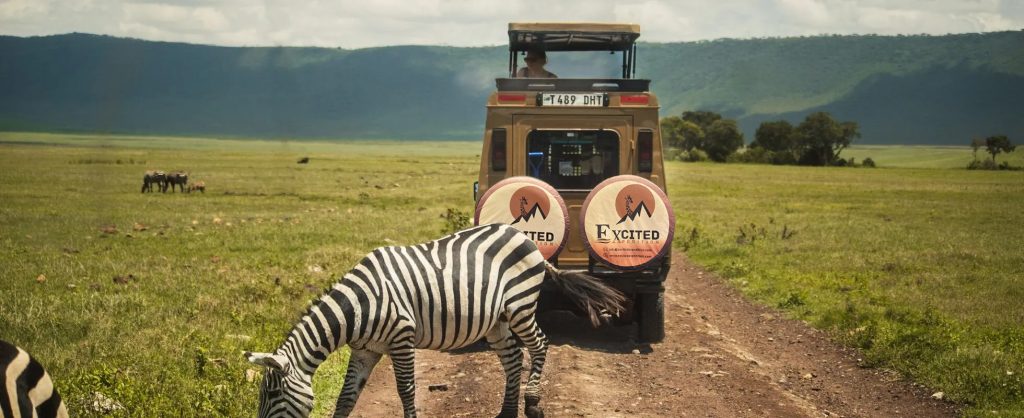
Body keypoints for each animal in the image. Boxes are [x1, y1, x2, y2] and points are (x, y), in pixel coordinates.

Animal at [245, 223, 625, 418]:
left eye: (273, 394)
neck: (359, 306)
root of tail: (524, 237)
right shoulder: (365, 349)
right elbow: (346, 397)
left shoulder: (402, 338)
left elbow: (406, 390)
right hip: (497, 321)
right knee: (514, 358)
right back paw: (505, 413)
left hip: (520, 306)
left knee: (540, 345)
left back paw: (531, 405)